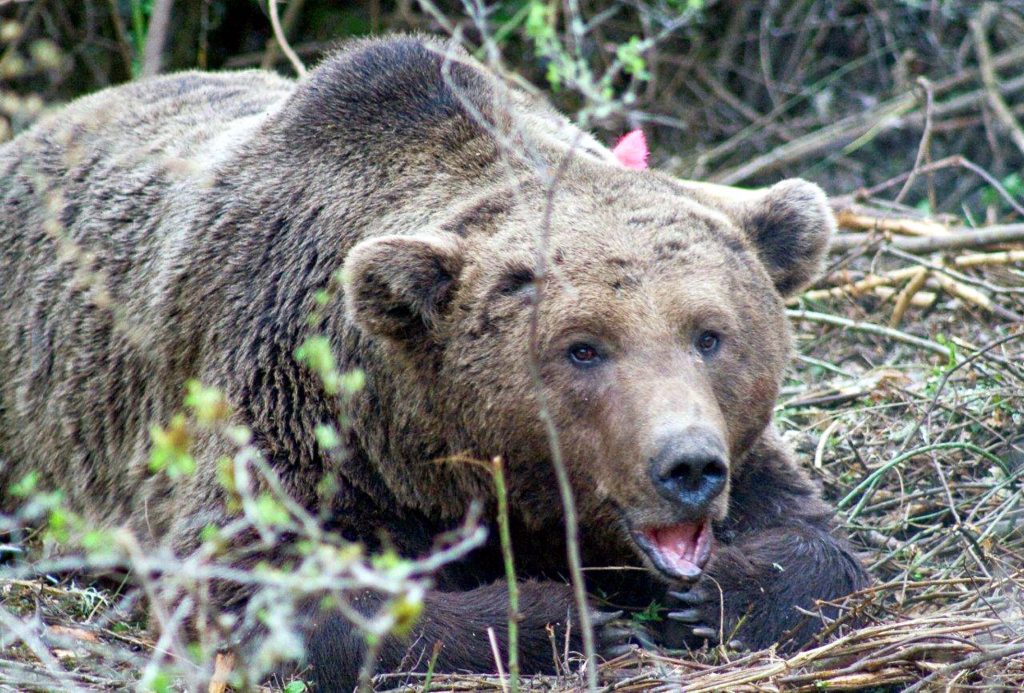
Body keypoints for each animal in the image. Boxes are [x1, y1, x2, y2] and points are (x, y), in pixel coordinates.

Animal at [0, 36, 868, 687]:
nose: (686, 465)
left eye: (709, 334)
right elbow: (259, 583)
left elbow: (814, 534)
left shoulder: (744, 450)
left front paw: (719, 593)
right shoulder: (290, 401)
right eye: (583, 347)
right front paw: (566, 617)